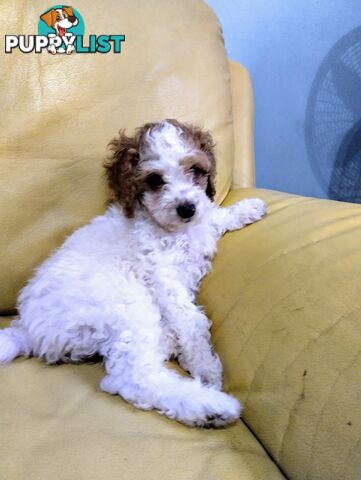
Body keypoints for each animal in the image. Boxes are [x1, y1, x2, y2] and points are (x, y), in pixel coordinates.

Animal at [0, 119, 264, 428]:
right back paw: (211, 407)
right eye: (155, 180)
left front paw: (247, 208)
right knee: (131, 376)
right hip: (128, 305)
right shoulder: (163, 277)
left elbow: (211, 215)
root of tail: (24, 328)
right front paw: (205, 365)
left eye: (196, 170)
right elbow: (192, 321)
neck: (172, 229)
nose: (187, 208)